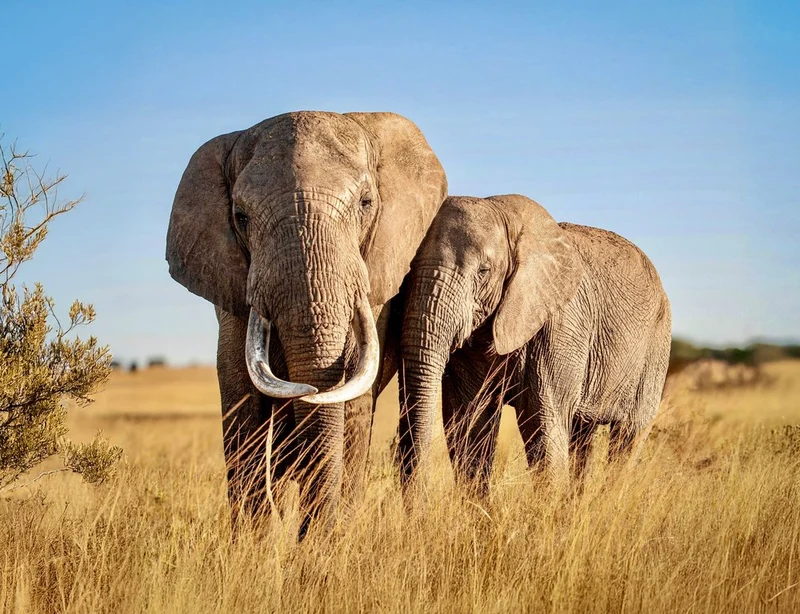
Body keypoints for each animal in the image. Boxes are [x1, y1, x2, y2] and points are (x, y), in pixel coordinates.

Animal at [165, 111, 447, 533]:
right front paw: (254, 541)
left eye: (366, 203)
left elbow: (354, 400)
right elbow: (241, 399)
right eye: (240, 217)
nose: (310, 389)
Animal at [397, 194, 671, 497]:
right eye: (408, 269)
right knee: (581, 434)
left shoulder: (562, 324)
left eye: (483, 271)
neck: (504, 213)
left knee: (628, 434)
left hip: (657, 343)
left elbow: (543, 420)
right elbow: (471, 418)